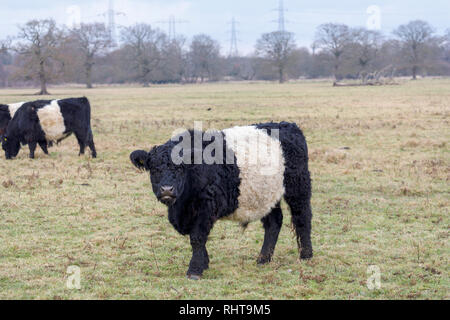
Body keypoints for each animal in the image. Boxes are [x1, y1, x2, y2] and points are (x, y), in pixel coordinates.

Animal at [130, 121, 312, 278]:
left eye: (180, 168)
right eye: (154, 169)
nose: (167, 189)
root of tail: (288, 125)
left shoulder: (207, 207)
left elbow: (197, 238)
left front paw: (195, 269)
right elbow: (198, 240)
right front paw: (204, 263)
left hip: (298, 186)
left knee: (302, 218)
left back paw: (306, 255)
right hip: (266, 195)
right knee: (274, 222)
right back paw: (263, 259)